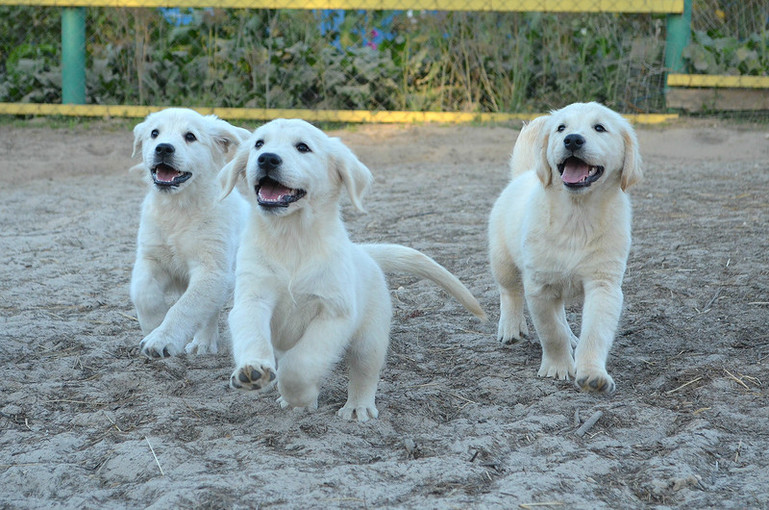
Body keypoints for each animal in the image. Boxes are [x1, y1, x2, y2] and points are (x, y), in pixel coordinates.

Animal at [130, 107, 249, 356]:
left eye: (190, 136)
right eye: (154, 133)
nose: (163, 148)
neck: (178, 210)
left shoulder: (211, 269)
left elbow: (185, 306)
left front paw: (161, 339)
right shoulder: (150, 257)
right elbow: (143, 294)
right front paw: (154, 326)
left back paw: (202, 343)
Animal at [220, 119, 486, 422]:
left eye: (303, 147)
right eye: (259, 144)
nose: (267, 159)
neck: (292, 238)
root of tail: (364, 252)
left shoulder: (335, 313)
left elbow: (301, 364)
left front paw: (299, 394)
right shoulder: (252, 299)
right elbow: (253, 336)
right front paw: (254, 371)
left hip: (370, 338)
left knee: (364, 372)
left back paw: (358, 407)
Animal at [486, 101, 640, 392]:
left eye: (599, 127)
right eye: (561, 128)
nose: (572, 139)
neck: (577, 216)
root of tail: (523, 174)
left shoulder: (604, 284)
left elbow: (594, 332)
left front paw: (592, 374)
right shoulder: (539, 285)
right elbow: (551, 331)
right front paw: (557, 368)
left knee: (561, 315)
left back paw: (571, 339)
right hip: (503, 260)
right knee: (510, 293)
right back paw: (510, 328)